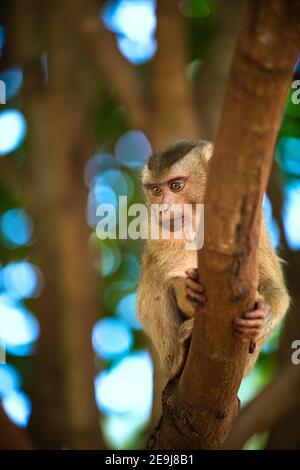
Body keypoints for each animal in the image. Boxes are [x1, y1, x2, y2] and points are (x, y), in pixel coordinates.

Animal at [137, 140, 290, 382]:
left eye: (176, 185)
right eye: (156, 190)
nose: (163, 208)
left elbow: (272, 284)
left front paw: (263, 312)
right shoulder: (157, 232)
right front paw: (189, 288)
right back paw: (174, 360)